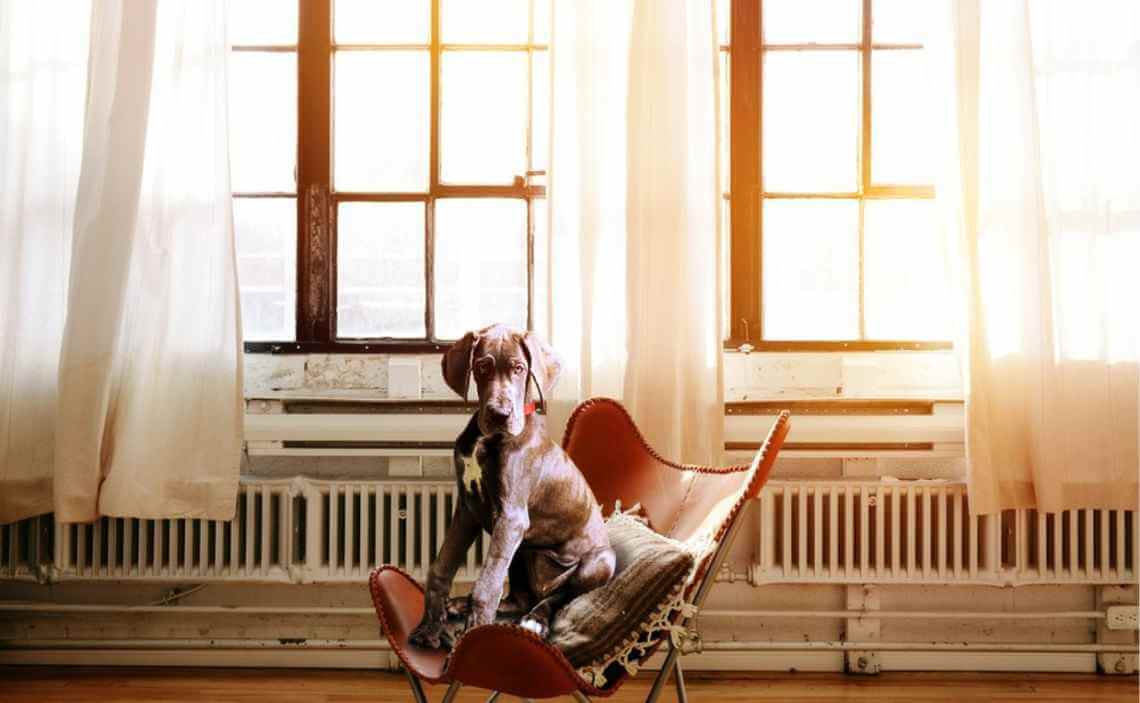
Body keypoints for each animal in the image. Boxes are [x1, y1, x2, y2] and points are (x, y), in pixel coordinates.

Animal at [408, 323, 615, 647]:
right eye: (482, 367)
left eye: (519, 369)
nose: (499, 414)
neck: (486, 439)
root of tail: (543, 585)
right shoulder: (468, 508)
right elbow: (442, 566)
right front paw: (429, 628)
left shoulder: (512, 517)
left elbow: (488, 584)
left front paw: (475, 635)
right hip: (521, 549)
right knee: (521, 597)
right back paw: (463, 604)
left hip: (601, 560)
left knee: (560, 596)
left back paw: (535, 619)